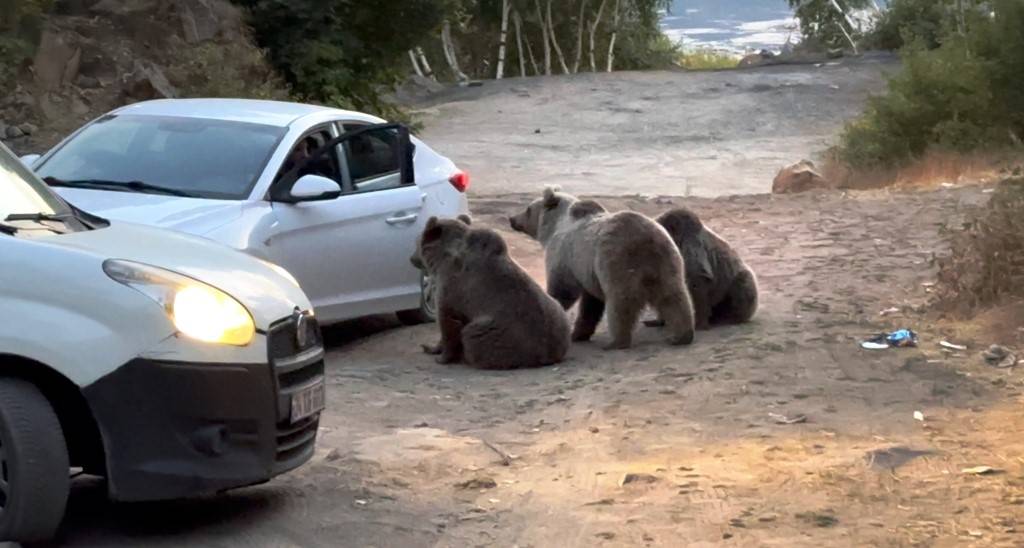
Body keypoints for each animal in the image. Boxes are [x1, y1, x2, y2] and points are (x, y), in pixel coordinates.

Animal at [407, 214, 573, 368]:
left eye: (416, 241)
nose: (411, 258)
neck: (441, 259)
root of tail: (549, 354)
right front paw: (432, 348)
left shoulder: (451, 286)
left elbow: (448, 321)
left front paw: (439, 355)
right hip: (557, 314)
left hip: (501, 332)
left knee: (472, 336)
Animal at [512, 188, 696, 352]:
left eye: (528, 209)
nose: (512, 219)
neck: (553, 227)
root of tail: (647, 240)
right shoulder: (588, 271)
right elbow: (590, 305)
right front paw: (579, 334)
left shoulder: (565, 257)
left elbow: (563, 289)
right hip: (667, 262)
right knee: (674, 297)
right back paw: (681, 335)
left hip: (617, 261)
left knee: (620, 303)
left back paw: (616, 342)